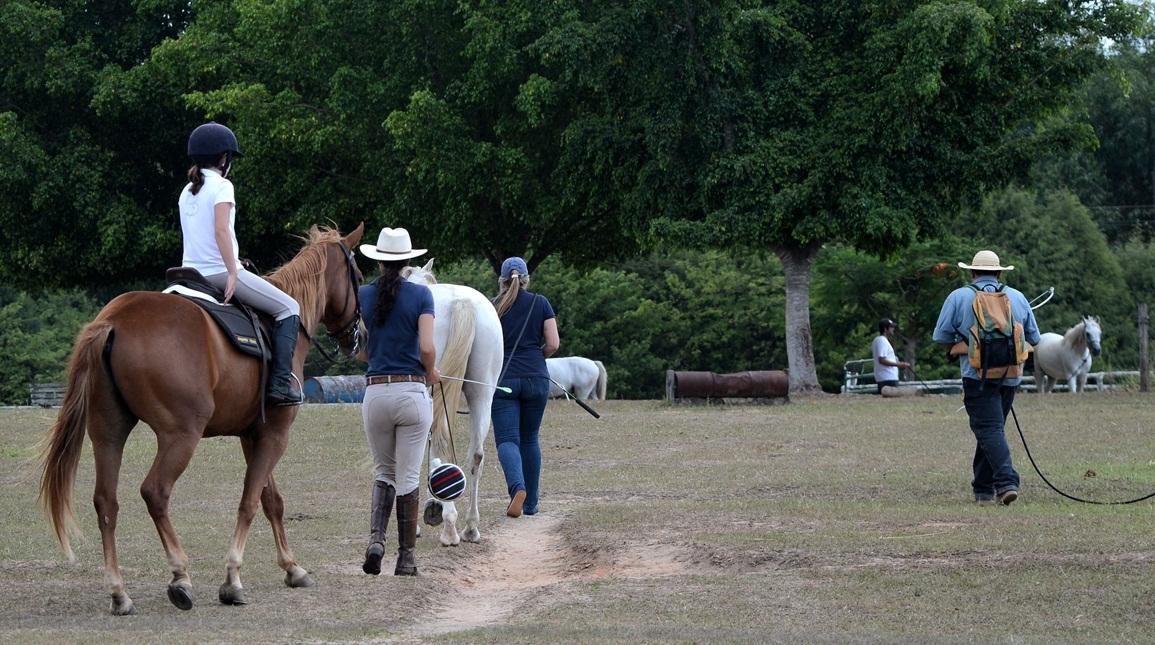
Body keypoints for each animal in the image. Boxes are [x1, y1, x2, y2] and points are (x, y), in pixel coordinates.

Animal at [40, 225, 362, 619]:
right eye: (357, 274)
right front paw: (233, 580)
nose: (358, 336)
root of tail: (113, 320)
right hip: (181, 436)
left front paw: (292, 567)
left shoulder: (254, 435)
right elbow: (249, 500)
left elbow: (271, 500)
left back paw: (120, 593)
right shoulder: (276, 434)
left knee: (106, 502)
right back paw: (180, 577)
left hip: (108, 433)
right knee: (155, 492)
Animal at [401, 258, 501, 545]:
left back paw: (449, 526)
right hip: (482, 395)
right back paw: (470, 527)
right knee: (476, 454)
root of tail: (461, 302)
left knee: (440, 442)